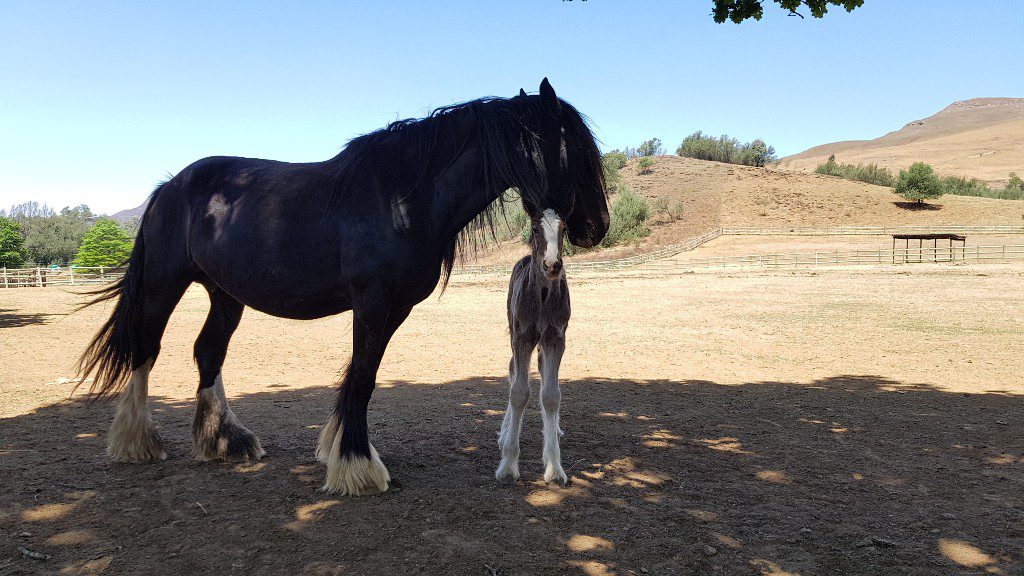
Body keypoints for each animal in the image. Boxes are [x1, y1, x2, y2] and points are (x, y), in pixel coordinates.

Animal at [496, 208, 570, 486]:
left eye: (564, 229)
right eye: (535, 229)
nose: (552, 265)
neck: (543, 295)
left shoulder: (555, 339)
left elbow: (551, 395)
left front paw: (554, 467)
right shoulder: (522, 338)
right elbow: (518, 392)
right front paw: (508, 466)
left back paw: (555, 430)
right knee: (513, 371)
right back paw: (504, 432)